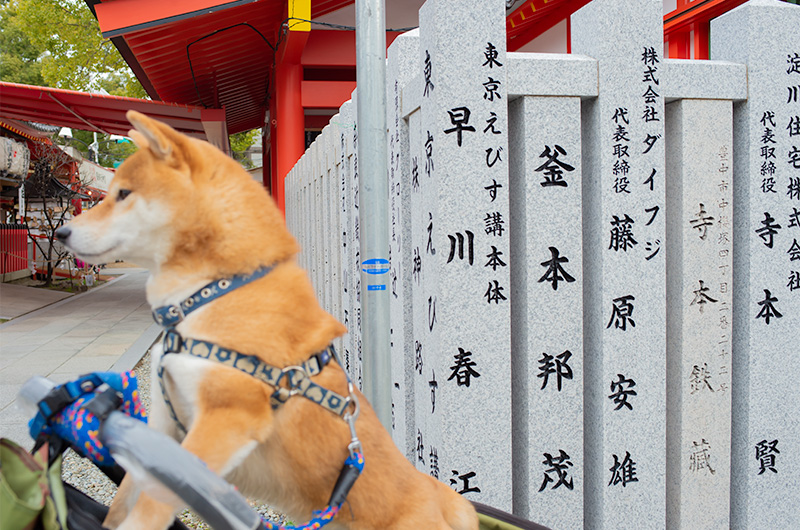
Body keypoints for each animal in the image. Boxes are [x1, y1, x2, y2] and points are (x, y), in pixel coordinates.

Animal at [57, 109, 482, 524]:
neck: (210, 292)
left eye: (123, 194)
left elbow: (150, 506)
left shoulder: (227, 416)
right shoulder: (163, 425)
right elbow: (123, 501)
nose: (61, 232)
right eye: (111, 192)